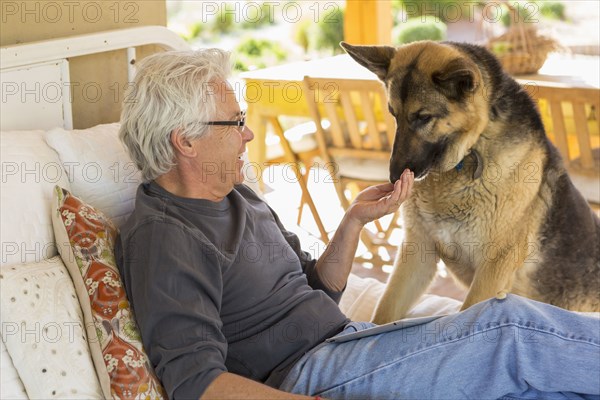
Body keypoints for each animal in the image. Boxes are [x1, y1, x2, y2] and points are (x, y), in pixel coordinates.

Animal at [340, 39, 596, 322]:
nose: (395, 178)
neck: (470, 150)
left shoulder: (492, 270)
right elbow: (385, 311)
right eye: (393, 114)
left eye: (423, 117)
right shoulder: (417, 253)